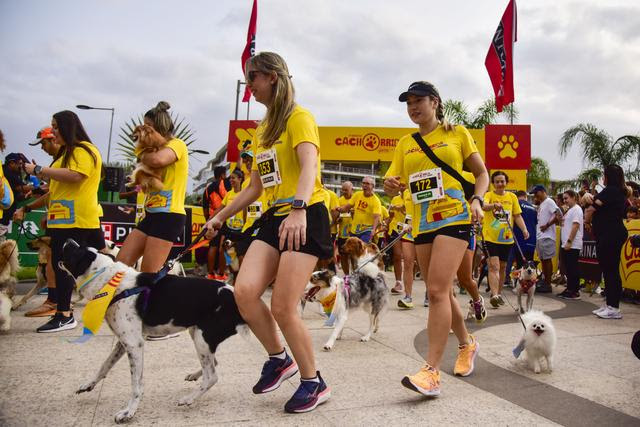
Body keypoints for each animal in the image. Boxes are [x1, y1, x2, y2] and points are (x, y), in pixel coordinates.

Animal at [60, 241, 245, 424]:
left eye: (76, 251)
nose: (68, 240)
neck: (111, 283)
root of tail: (234, 295)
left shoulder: (134, 344)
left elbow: (136, 385)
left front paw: (129, 412)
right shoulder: (123, 342)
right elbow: (104, 365)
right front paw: (89, 384)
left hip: (202, 338)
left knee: (212, 376)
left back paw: (188, 398)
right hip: (199, 335)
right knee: (214, 363)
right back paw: (194, 376)